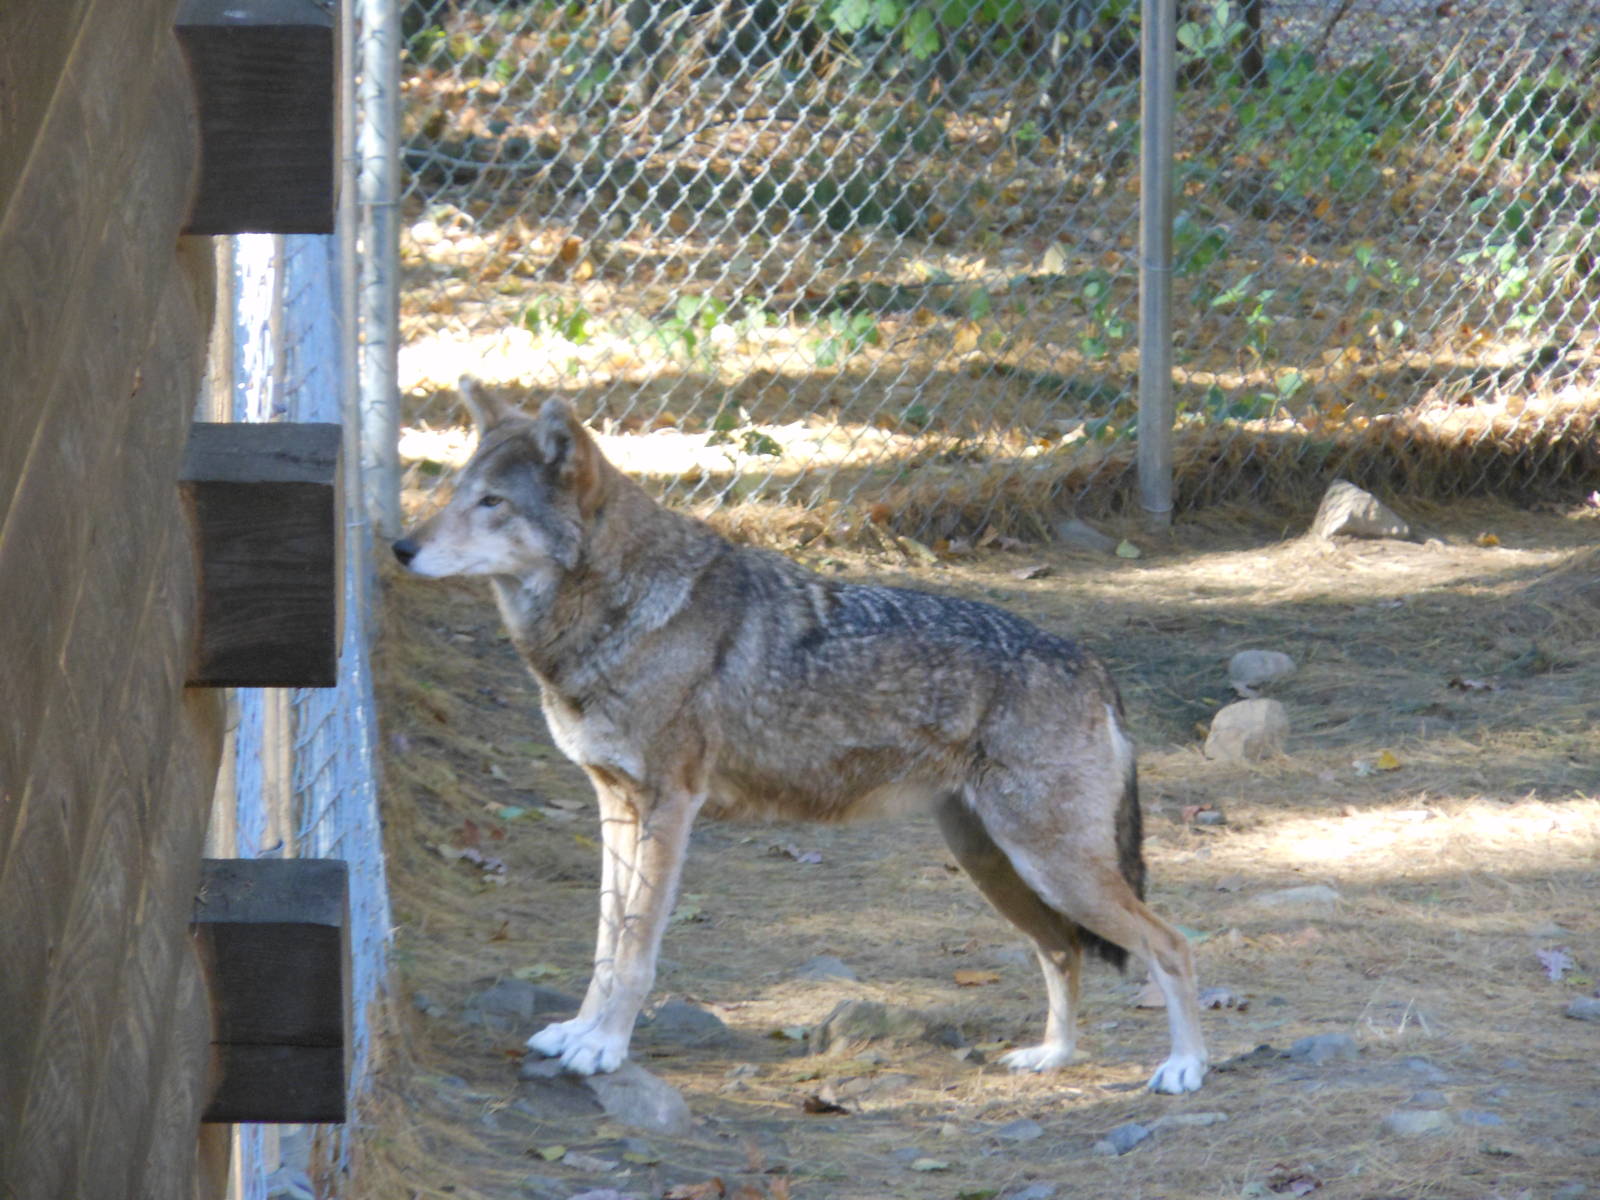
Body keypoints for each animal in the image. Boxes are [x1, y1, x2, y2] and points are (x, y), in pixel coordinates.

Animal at [392, 384, 1208, 1093]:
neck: (616, 614)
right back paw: (1053, 1057)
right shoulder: (615, 806)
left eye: (492, 502)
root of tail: (1092, 663)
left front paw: (605, 1049)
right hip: (998, 864)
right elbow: (602, 943)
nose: (399, 547)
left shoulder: (669, 809)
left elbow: (634, 951)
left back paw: (1185, 1068)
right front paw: (578, 1033)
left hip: (1051, 864)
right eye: (456, 492)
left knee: (1169, 943)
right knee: (1061, 949)